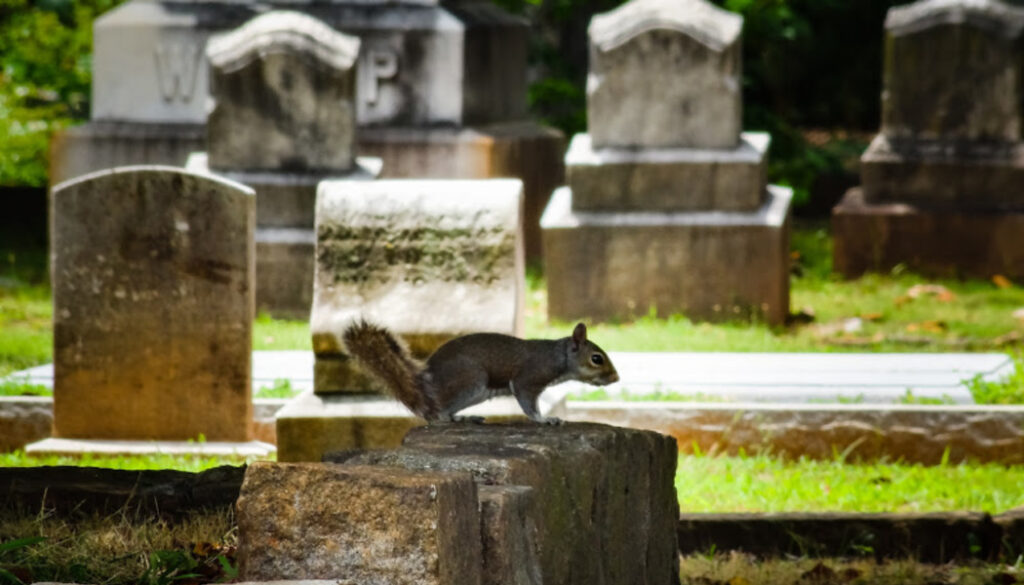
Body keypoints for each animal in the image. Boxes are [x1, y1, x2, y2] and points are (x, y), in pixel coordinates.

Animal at [341, 320, 619, 425]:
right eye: (596, 359)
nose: (615, 378)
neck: (557, 356)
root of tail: (423, 389)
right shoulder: (528, 378)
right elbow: (528, 402)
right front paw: (544, 420)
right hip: (471, 381)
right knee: (437, 417)